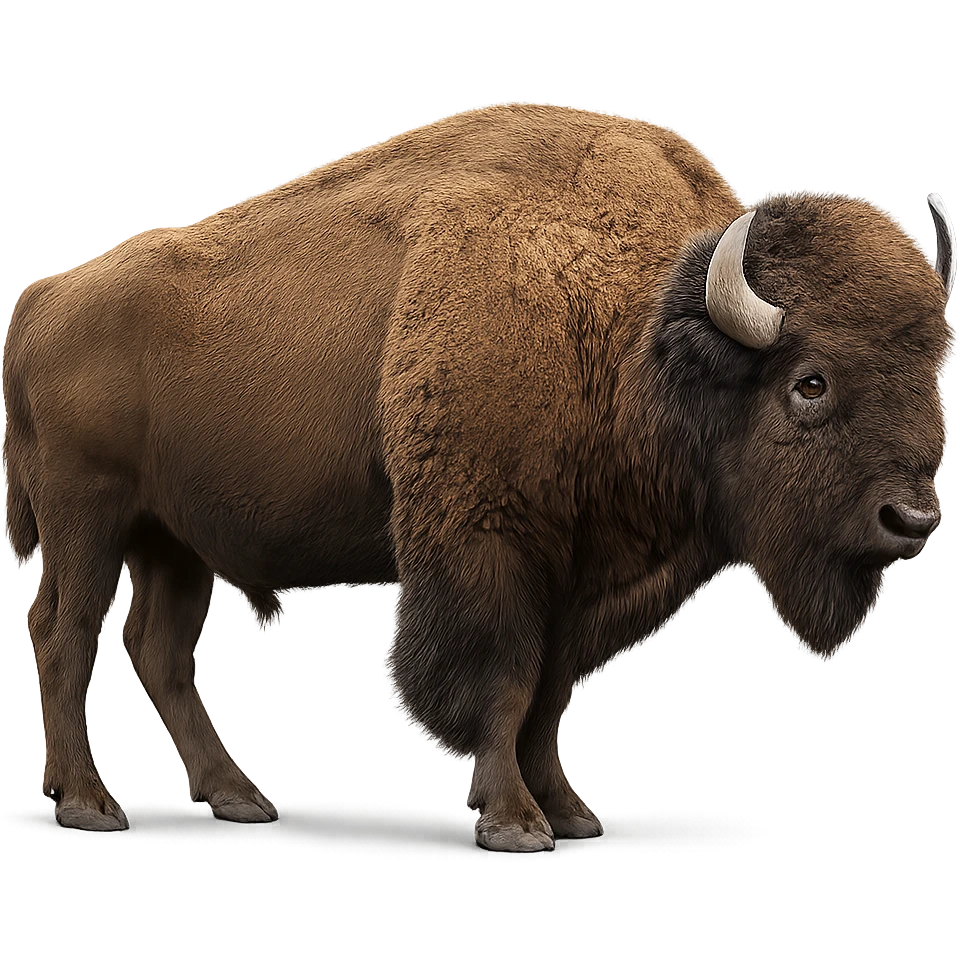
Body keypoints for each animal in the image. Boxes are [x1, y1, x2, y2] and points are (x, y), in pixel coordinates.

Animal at [3, 102, 955, 853]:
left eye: (934, 375)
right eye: (811, 383)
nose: (911, 521)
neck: (634, 335)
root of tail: (45, 298)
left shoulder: (581, 575)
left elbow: (551, 693)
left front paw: (569, 810)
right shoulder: (489, 542)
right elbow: (504, 680)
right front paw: (514, 821)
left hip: (176, 541)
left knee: (159, 652)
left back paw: (237, 796)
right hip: (88, 517)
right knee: (65, 632)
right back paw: (89, 803)